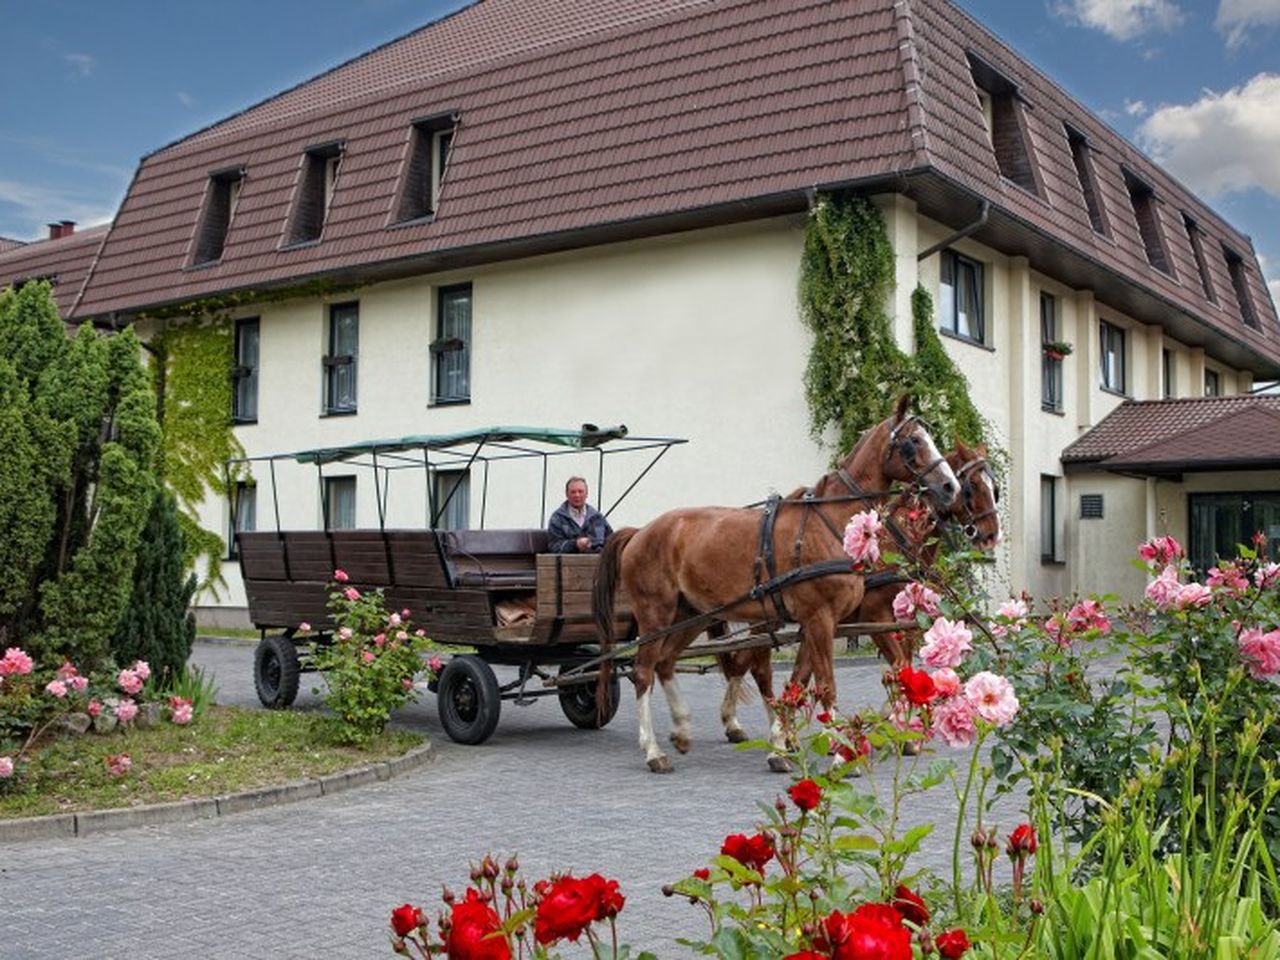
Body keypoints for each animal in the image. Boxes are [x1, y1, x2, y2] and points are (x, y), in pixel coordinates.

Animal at [593, 399, 957, 773]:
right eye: (914, 441)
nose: (949, 486)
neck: (831, 524)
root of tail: (640, 531)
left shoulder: (819, 622)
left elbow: (800, 680)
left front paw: (783, 746)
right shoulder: (823, 617)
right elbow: (826, 685)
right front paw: (839, 753)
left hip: (691, 614)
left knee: (666, 662)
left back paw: (681, 728)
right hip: (656, 614)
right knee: (643, 671)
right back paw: (653, 750)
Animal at [721, 442, 998, 742]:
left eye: (994, 487)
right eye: (971, 486)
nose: (992, 535)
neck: (892, 545)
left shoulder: (900, 622)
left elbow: (904, 668)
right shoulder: (874, 617)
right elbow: (899, 665)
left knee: (748, 664)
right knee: (754, 667)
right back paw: (748, 723)